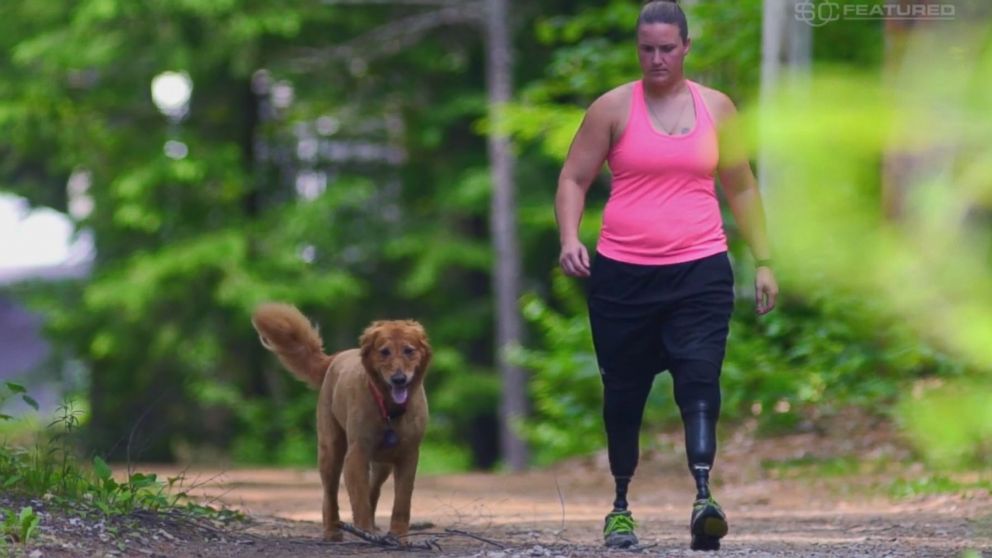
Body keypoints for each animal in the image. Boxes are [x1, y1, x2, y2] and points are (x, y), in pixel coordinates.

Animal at [250, 304, 428, 544]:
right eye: (384, 352)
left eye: (409, 350)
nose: (398, 379)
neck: (389, 409)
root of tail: (335, 358)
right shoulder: (357, 453)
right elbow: (359, 499)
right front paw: (365, 530)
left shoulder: (408, 455)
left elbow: (401, 501)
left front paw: (398, 536)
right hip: (331, 450)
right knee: (330, 494)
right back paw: (333, 530)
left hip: (383, 463)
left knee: (373, 489)